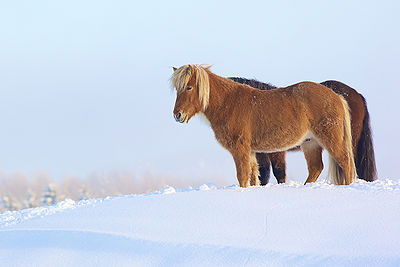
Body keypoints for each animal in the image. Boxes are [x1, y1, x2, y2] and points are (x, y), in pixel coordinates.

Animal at [172, 65, 356, 187]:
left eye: (189, 87)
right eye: (177, 89)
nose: (177, 115)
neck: (229, 102)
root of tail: (336, 96)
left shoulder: (240, 149)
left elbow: (243, 176)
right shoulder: (251, 151)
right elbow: (254, 177)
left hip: (329, 140)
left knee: (345, 161)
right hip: (311, 143)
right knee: (316, 168)